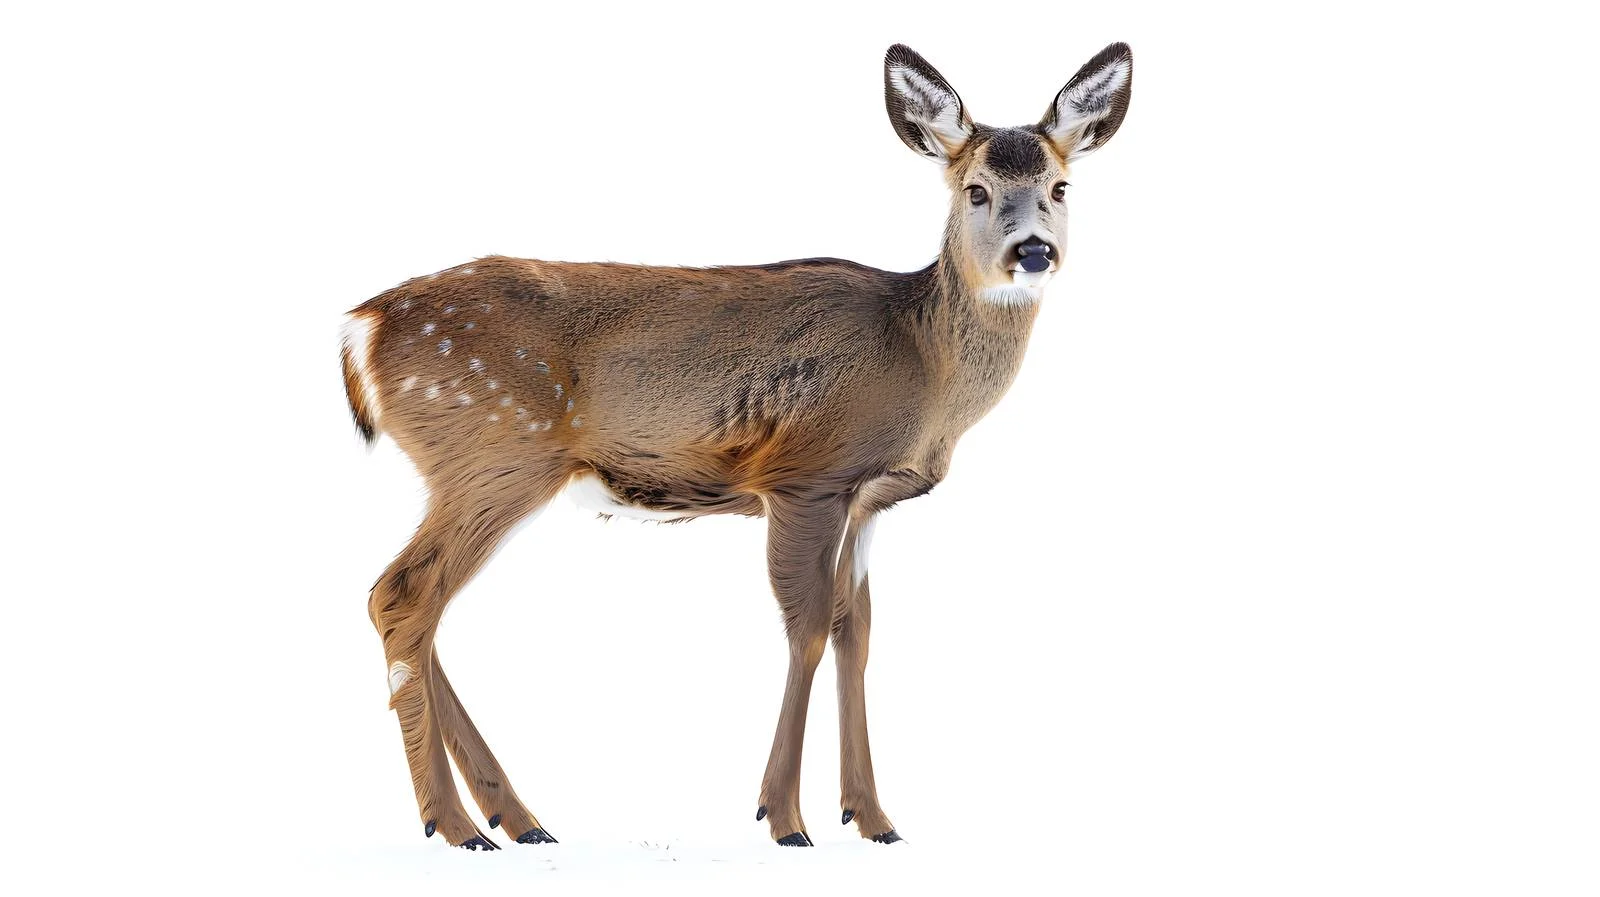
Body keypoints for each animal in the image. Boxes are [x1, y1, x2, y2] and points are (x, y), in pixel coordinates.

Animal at [341, 42, 1132, 850]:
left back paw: (516, 819)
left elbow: (857, 632)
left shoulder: (867, 498)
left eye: (1060, 186)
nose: (1032, 250)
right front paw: (785, 819)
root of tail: (359, 329)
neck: (923, 361)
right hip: (494, 453)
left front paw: (873, 818)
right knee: (404, 596)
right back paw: (456, 823)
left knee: (408, 606)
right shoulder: (807, 474)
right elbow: (807, 628)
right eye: (976, 190)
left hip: (481, 467)